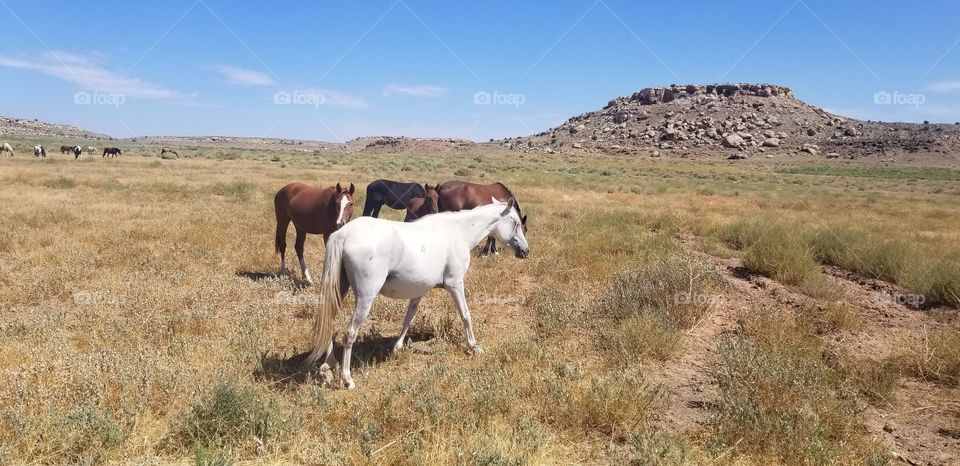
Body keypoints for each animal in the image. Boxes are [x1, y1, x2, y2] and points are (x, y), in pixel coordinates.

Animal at [305, 198, 530, 389]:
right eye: (516, 223)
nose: (525, 252)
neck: (457, 232)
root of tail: (343, 234)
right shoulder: (456, 284)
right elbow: (466, 315)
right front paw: (474, 346)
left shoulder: (419, 290)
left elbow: (408, 318)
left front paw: (397, 348)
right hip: (365, 298)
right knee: (350, 333)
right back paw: (347, 379)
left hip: (339, 290)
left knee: (330, 321)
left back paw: (329, 365)